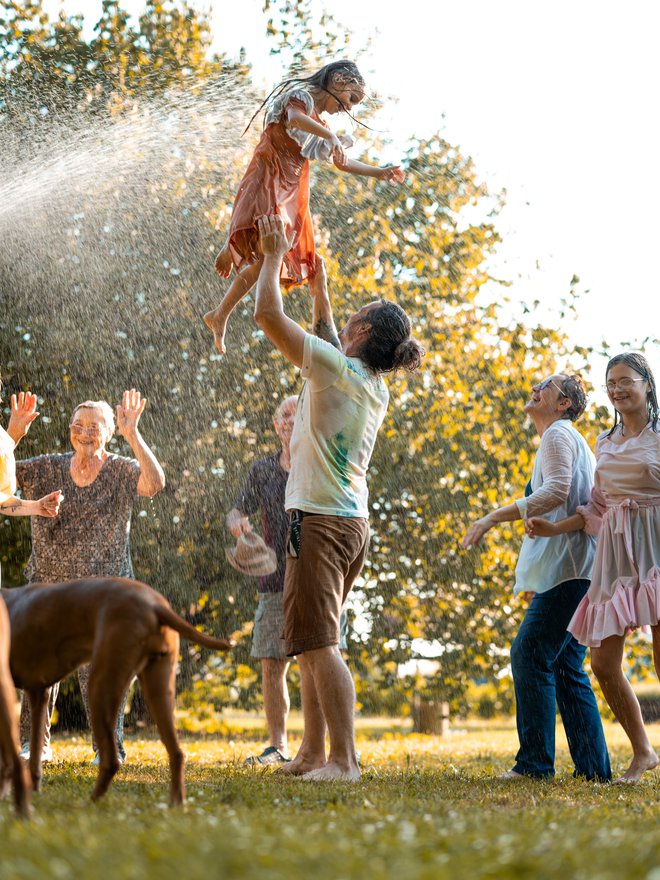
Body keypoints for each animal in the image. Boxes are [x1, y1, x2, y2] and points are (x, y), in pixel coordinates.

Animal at [3, 576, 232, 804]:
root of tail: (154, 604)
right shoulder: (38, 693)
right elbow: (34, 753)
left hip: (99, 684)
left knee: (112, 761)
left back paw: (88, 803)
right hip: (158, 688)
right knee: (177, 753)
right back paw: (175, 805)